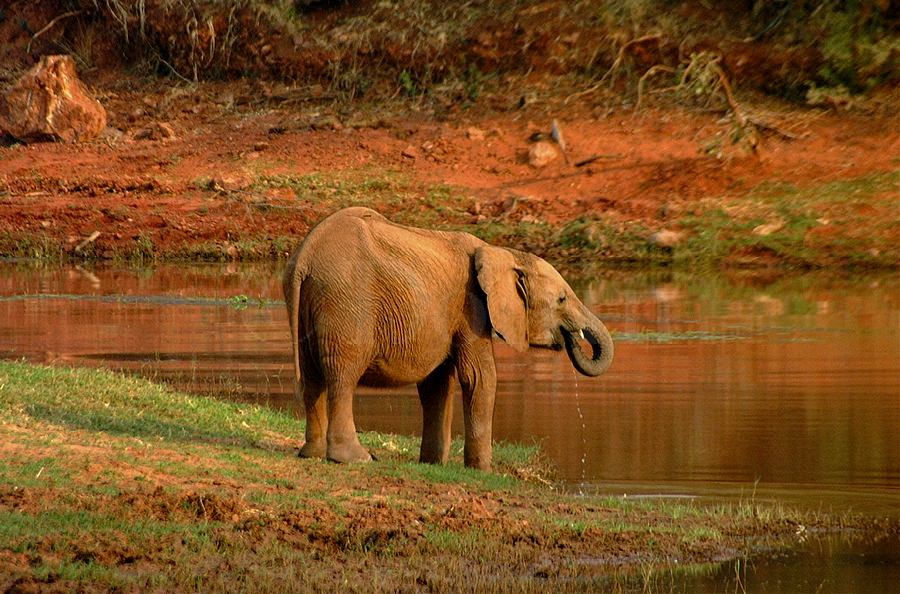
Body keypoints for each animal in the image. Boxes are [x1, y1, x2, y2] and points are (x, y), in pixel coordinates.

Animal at [282, 207, 614, 471]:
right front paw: (483, 472)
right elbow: (479, 377)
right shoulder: (472, 308)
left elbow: (437, 384)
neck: (502, 253)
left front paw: (432, 464)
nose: (573, 339)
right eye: (561, 299)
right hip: (347, 304)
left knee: (313, 379)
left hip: (311, 303)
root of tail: (306, 256)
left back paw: (311, 454)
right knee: (343, 376)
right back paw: (354, 459)